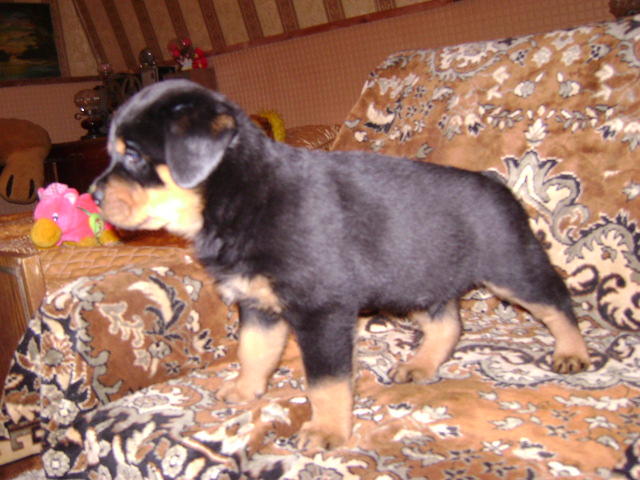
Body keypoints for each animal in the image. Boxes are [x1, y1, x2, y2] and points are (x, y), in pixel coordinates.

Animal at [91, 79, 590, 450]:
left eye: (132, 153)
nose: (93, 195)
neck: (239, 197)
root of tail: (500, 185)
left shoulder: (321, 311)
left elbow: (326, 382)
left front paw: (326, 431)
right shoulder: (259, 304)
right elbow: (253, 351)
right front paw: (244, 389)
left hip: (512, 267)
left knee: (557, 302)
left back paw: (572, 353)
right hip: (416, 277)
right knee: (447, 323)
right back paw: (421, 365)